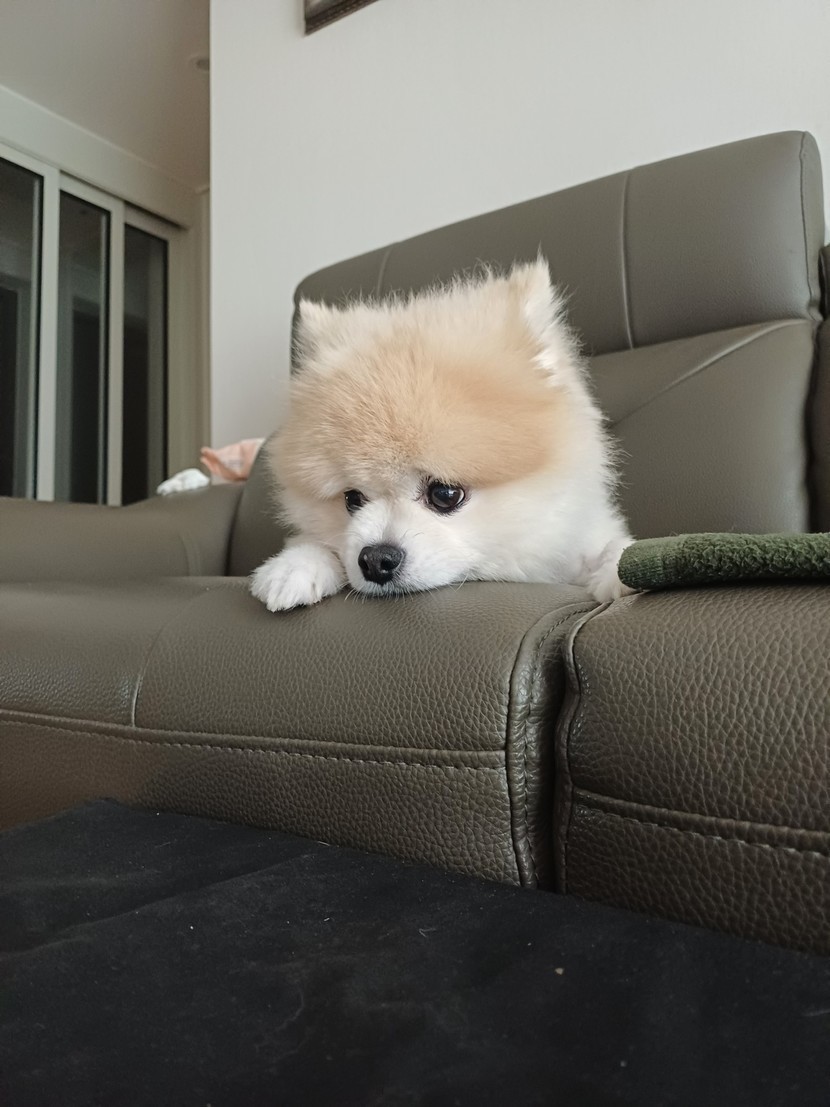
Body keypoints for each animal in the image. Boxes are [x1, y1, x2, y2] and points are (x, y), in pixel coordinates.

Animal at [250, 259, 633, 612]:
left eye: (445, 494)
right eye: (352, 499)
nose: (375, 559)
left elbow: (612, 547)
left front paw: (620, 568)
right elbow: (314, 542)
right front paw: (296, 565)